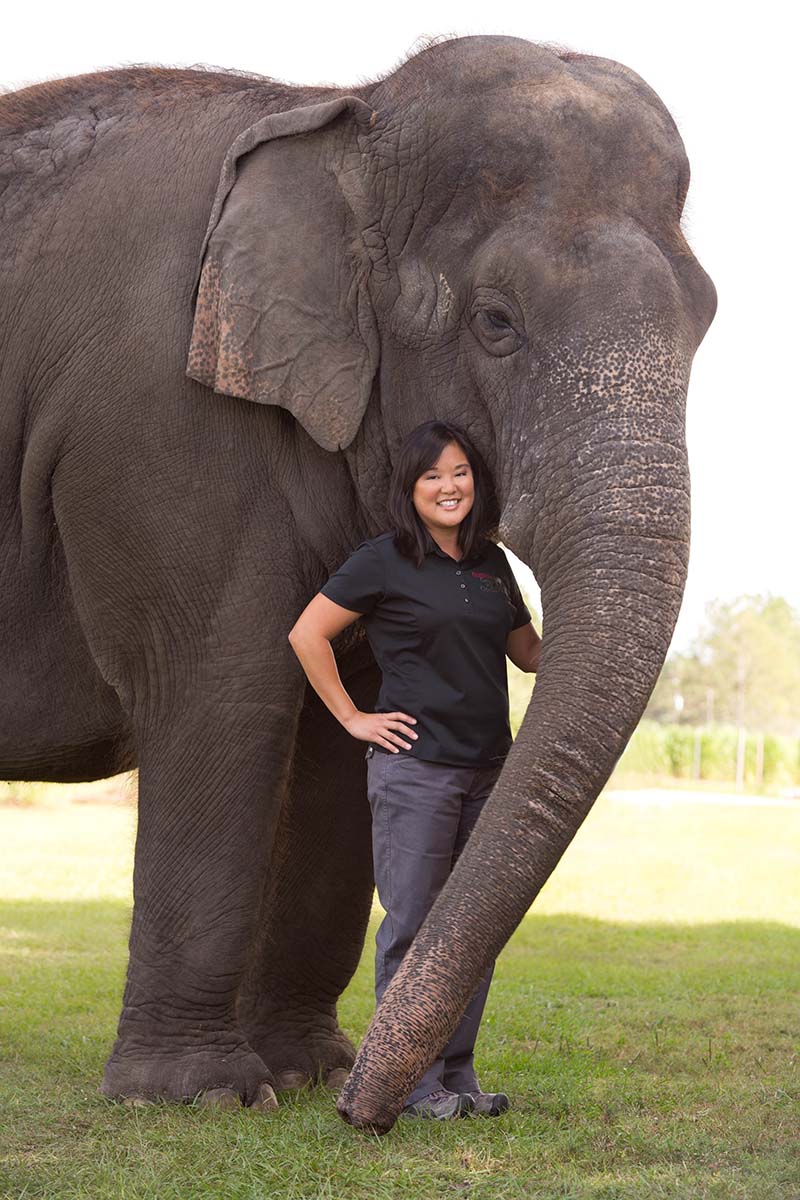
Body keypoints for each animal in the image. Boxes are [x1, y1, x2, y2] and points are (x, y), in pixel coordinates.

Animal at [0, 34, 716, 1132]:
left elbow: (349, 734)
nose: (365, 1115)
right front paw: (200, 1096)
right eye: (496, 321)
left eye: (706, 317)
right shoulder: (158, 430)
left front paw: (308, 1072)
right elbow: (222, 696)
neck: (341, 112)